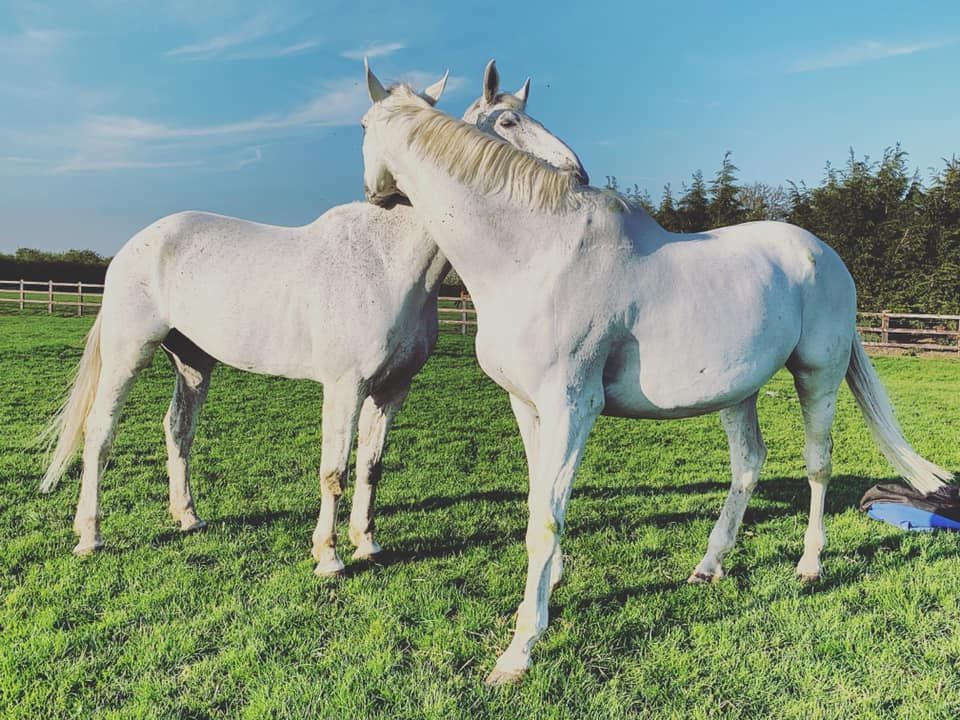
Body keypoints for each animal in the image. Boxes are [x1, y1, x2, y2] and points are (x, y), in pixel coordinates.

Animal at [40, 61, 588, 579]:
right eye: (509, 121)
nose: (577, 174)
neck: (386, 259)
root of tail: (138, 244)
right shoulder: (345, 387)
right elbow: (334, 471)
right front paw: (329, 556)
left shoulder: (392, 390)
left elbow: (370, 468)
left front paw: (367, 544)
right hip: (129, 353)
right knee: (100, 433)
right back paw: (90, 535)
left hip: (193, 361)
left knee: (178, 429)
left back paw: (188, 518)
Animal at [358, 64, 954, 684]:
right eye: (506, 119)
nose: (375, 194)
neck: (535, 254)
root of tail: (827, 255)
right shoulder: (528, 405)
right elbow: (540, 499)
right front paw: (551, 586)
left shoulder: (572, 406)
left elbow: (545, 518)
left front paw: (519, 650)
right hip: (737, 392)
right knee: (748, 464)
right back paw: (709, 565)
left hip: (817, 375)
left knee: (817, 465)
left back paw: (810, 564)